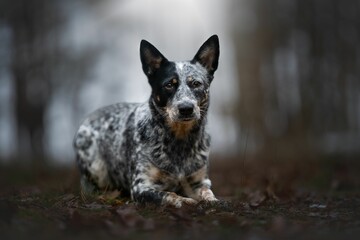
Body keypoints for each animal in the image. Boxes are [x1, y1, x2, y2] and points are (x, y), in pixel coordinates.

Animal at [73, 34, 219, 207]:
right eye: (169, 85)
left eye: (196, 83)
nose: (186, 108)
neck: (179, 140)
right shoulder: (141, 186)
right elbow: (169, 195)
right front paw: (185, 201)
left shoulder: (200, 181)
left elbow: (207, 192)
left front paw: (213, 201)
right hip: (94, 165)